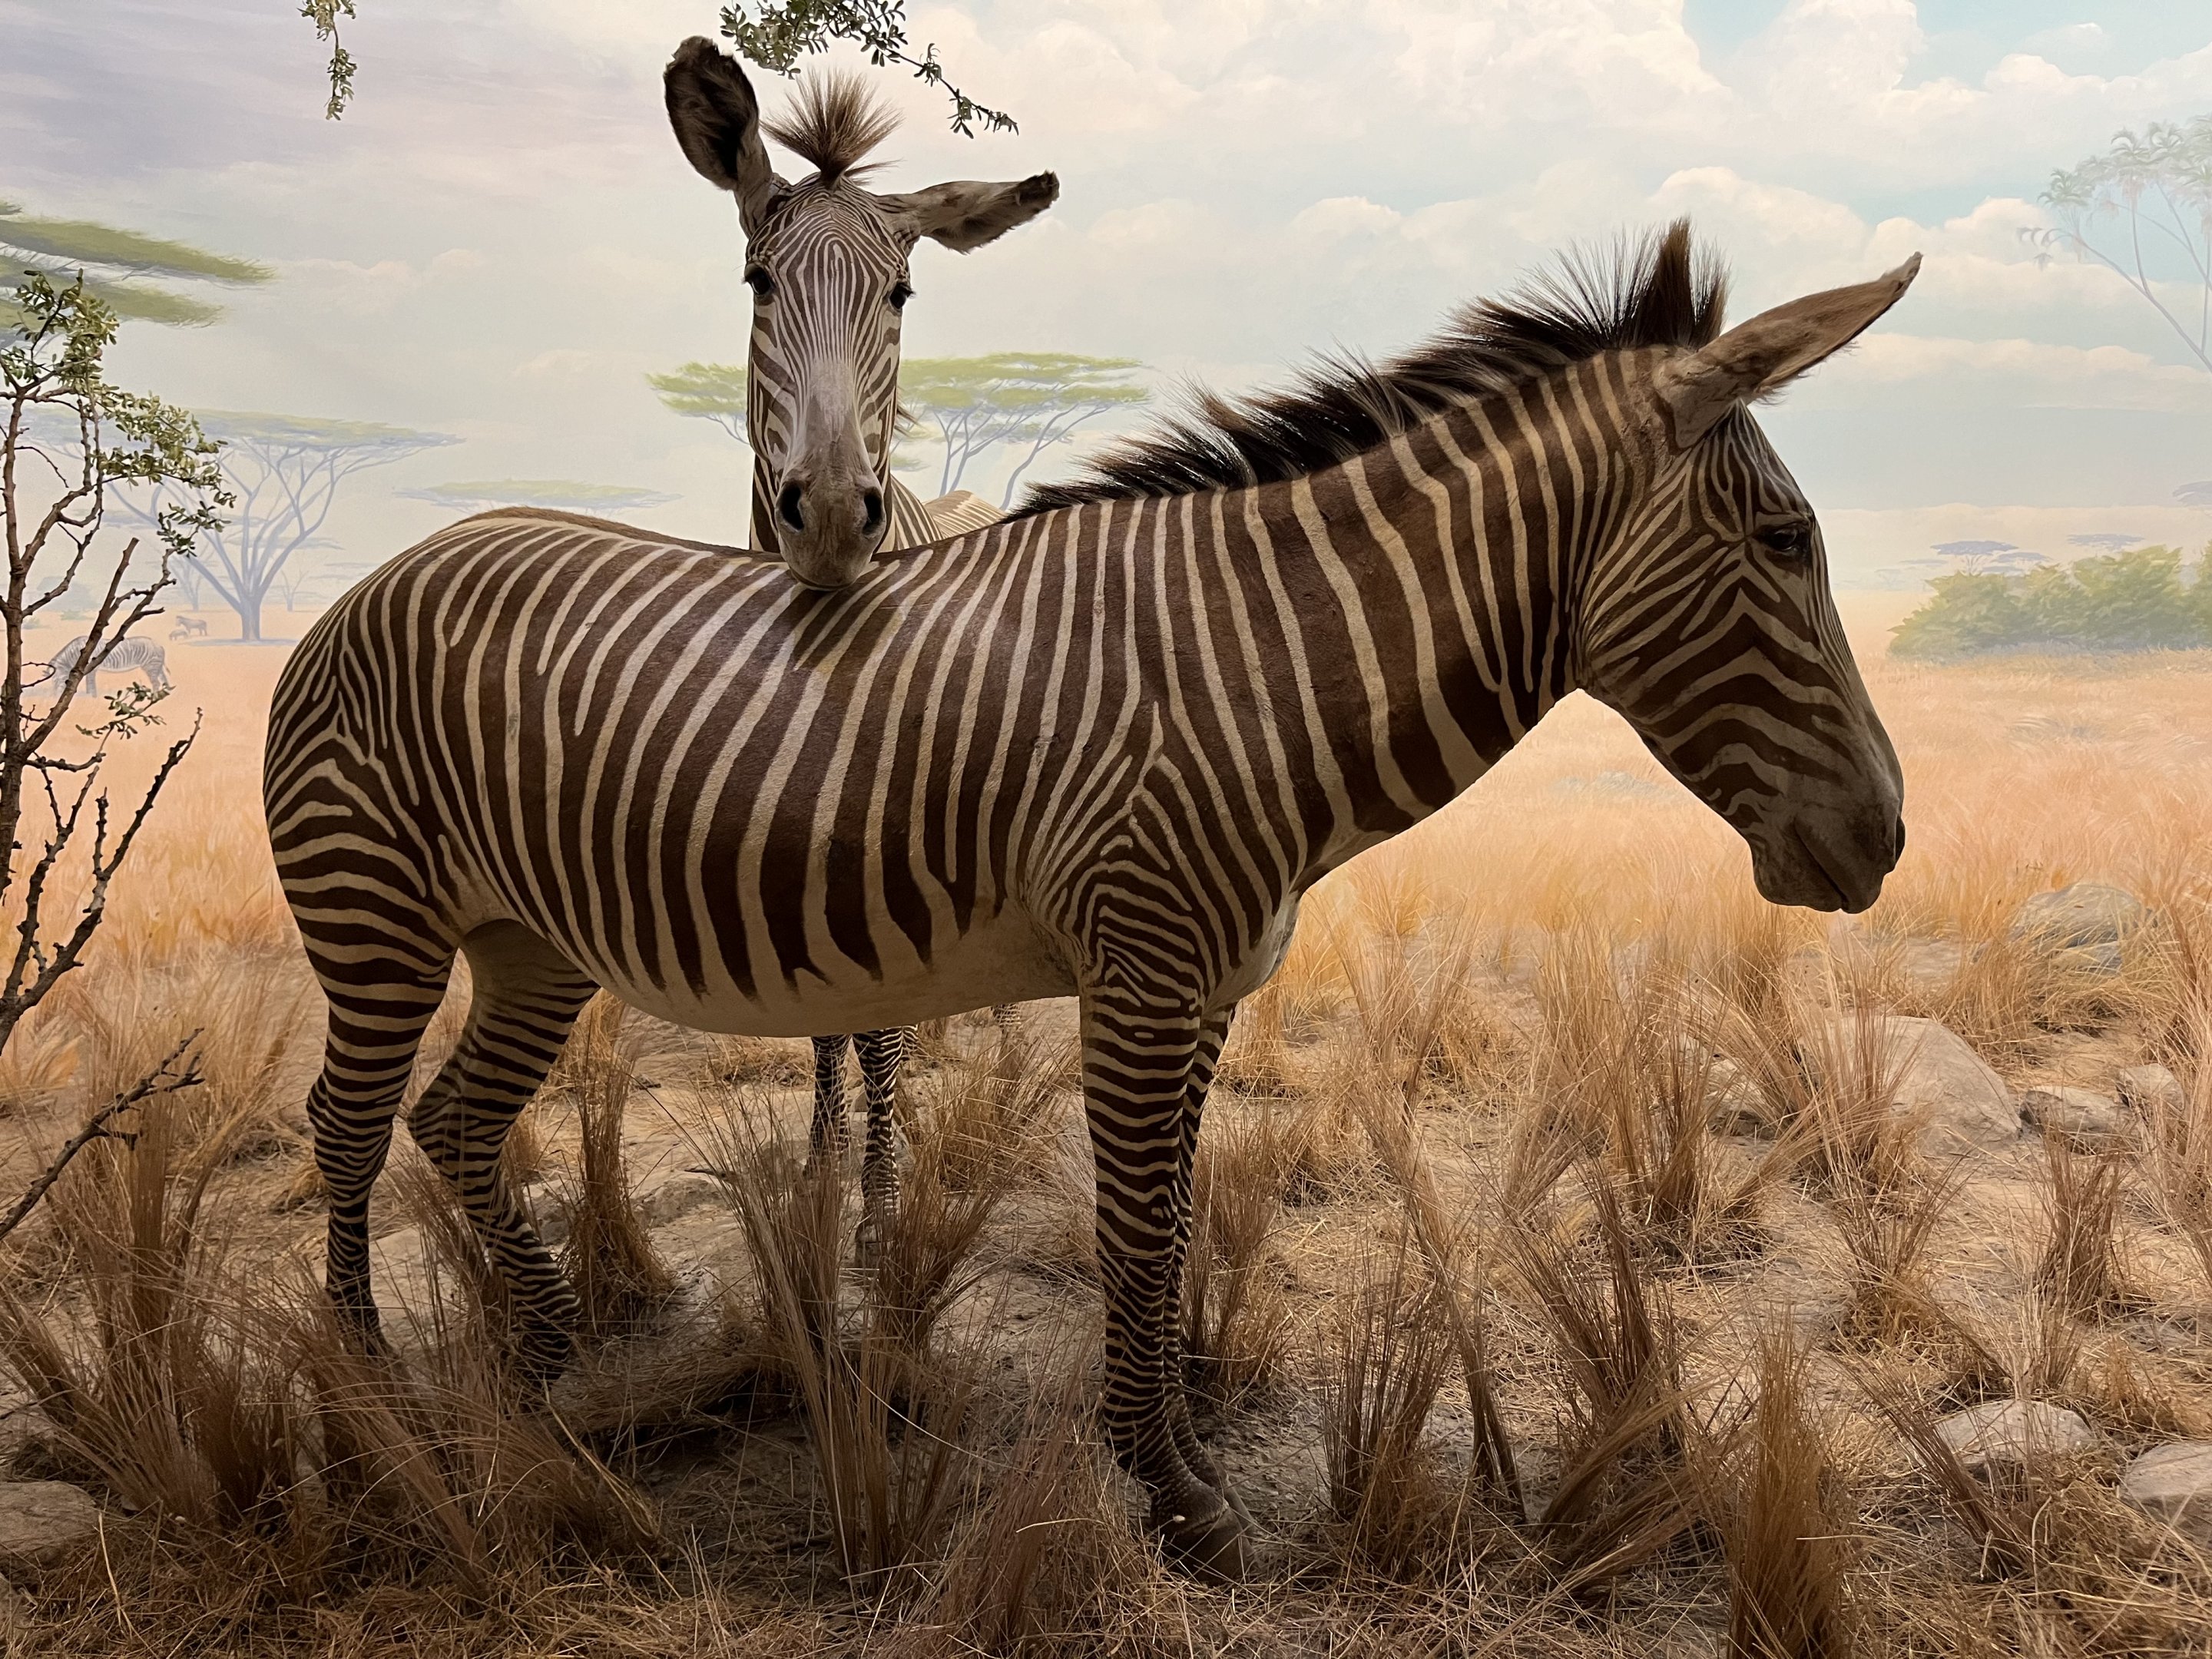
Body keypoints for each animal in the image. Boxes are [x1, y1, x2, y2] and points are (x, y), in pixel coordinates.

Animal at [47, 634, 169, 697]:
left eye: (57, 680)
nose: (55, 698)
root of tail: (159, 645)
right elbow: (88, 684)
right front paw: (89, 697)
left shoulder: (91, 669)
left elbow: (91, 684)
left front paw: (93, 698)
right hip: (157, 666)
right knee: (164, 679)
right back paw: (166, 695)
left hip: (151, 666)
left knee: (156, 682)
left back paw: (154, 697)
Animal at [265, 221, 1915, 1576]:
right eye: (1787, 543)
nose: (1890, 838)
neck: (1255, 672)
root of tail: (384, 570)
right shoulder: (1140, 971)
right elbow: (1133, 1231)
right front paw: (1176, 1501)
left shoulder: (1206, 988)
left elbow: (1174, 1222)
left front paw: (1177, 1443)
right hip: (377, 915)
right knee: (348, 1127)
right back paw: (374, 1403)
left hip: (529, 940)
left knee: (452, 1121)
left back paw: (540, 1364)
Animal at [666, 41, 1053, 1225]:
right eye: (758, 283)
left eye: (901, 293)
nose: (836, 514)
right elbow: (826, 1016)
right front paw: (819, 1159)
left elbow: (879, 1026)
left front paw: (880, 1205)